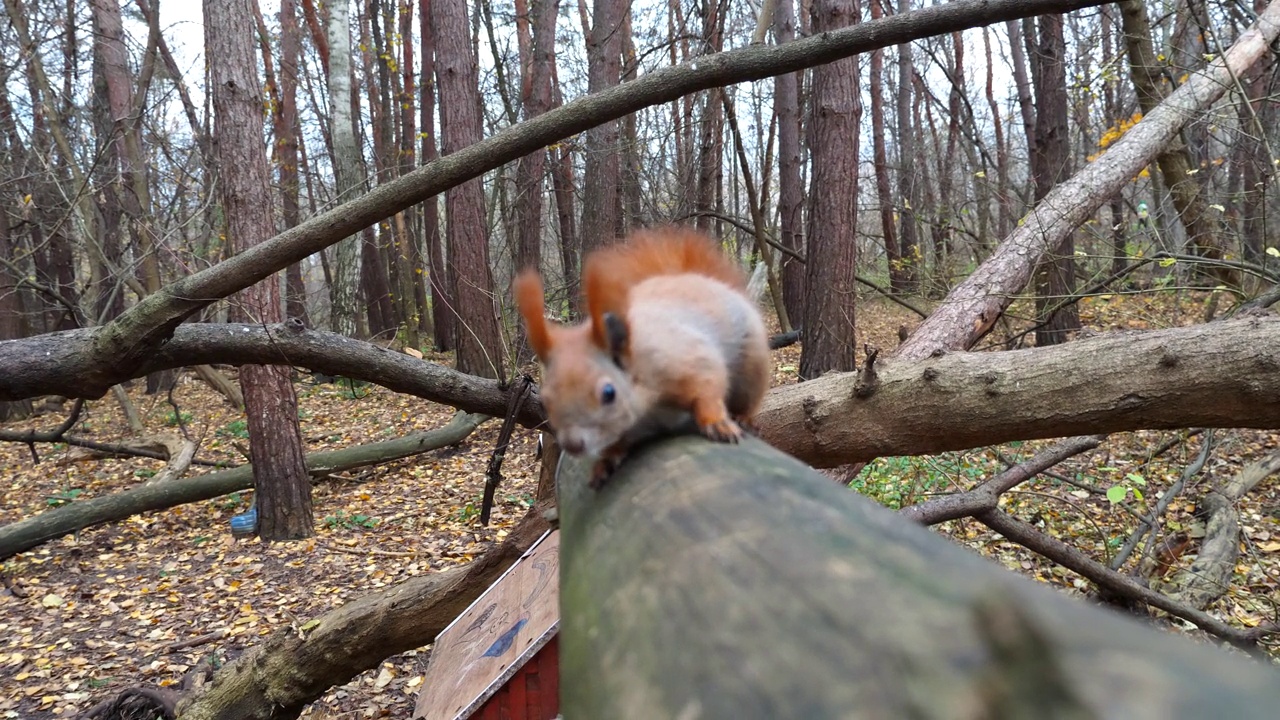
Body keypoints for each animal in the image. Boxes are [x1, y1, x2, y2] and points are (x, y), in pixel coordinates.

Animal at [512, 225, 768, 481]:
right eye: (544, 401)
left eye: (609, 393)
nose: (573, 445)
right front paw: (605, 461)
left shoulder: (687, 358)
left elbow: (708, 390)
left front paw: (717, 423)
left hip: (751, 370)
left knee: (748, 399)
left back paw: (743, 418)